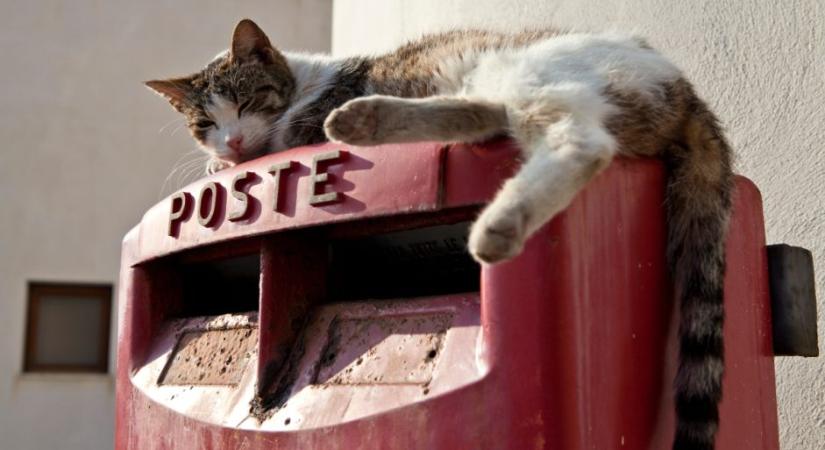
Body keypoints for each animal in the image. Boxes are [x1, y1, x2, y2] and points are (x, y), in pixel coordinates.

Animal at [145, 18, 732, 450]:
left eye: (244, 103)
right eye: (204, 124)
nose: (232, 143)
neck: (304, 83)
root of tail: (685, 93)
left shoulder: (298, 126)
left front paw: (227, 166)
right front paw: (217, 164)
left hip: (529, 73)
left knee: (582, 143)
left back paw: (494, 224)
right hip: (504, 85)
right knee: (487, 116)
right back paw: (369, 121)